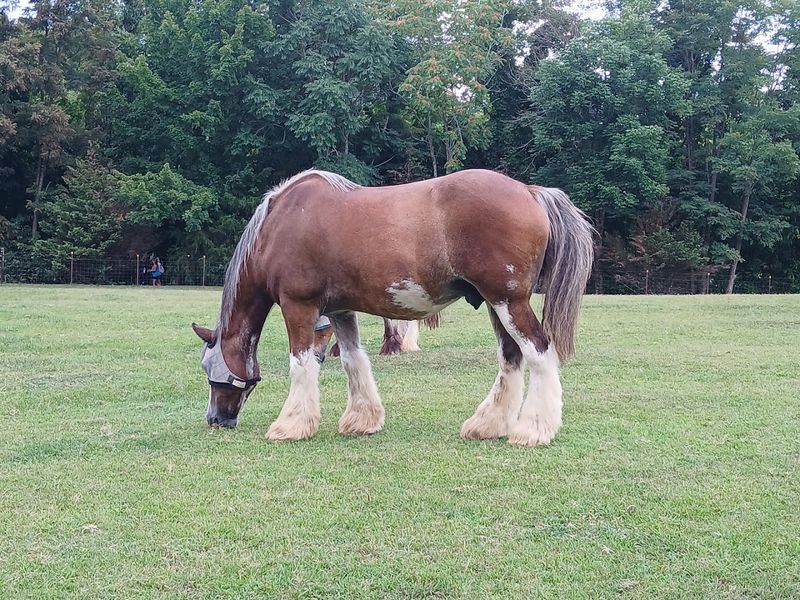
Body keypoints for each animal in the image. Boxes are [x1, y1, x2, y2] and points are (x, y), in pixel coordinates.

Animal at [192, 168, 593, 446]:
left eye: (209, 371)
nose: (215, 419)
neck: (280, 224)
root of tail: (530, 191)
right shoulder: (340, 311)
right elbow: (353, 360)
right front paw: (362, 420)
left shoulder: (299, 306)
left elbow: (302, 363)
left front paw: (291, 425)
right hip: (498, 305)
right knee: (511, 357)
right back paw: (488, 424)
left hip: (508, 302)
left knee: (539, 352)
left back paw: (533, 430)